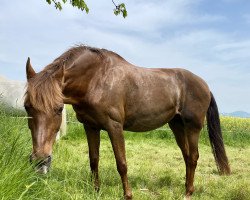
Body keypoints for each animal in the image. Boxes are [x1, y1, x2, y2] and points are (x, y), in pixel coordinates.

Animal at [24, 45, 229, 198]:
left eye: (59, 109)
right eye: (27, 107)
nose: (40, 162)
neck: (96, 79)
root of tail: (205, 85)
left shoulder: (114, 127)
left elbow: (121, 163)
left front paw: (128, 195)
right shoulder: (90, 127)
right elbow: (94, 159)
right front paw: (96, 191)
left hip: (193, 127)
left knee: (193, 157)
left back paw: (188, 193)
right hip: (176, 125)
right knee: (187, 156)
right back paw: (186, 188)